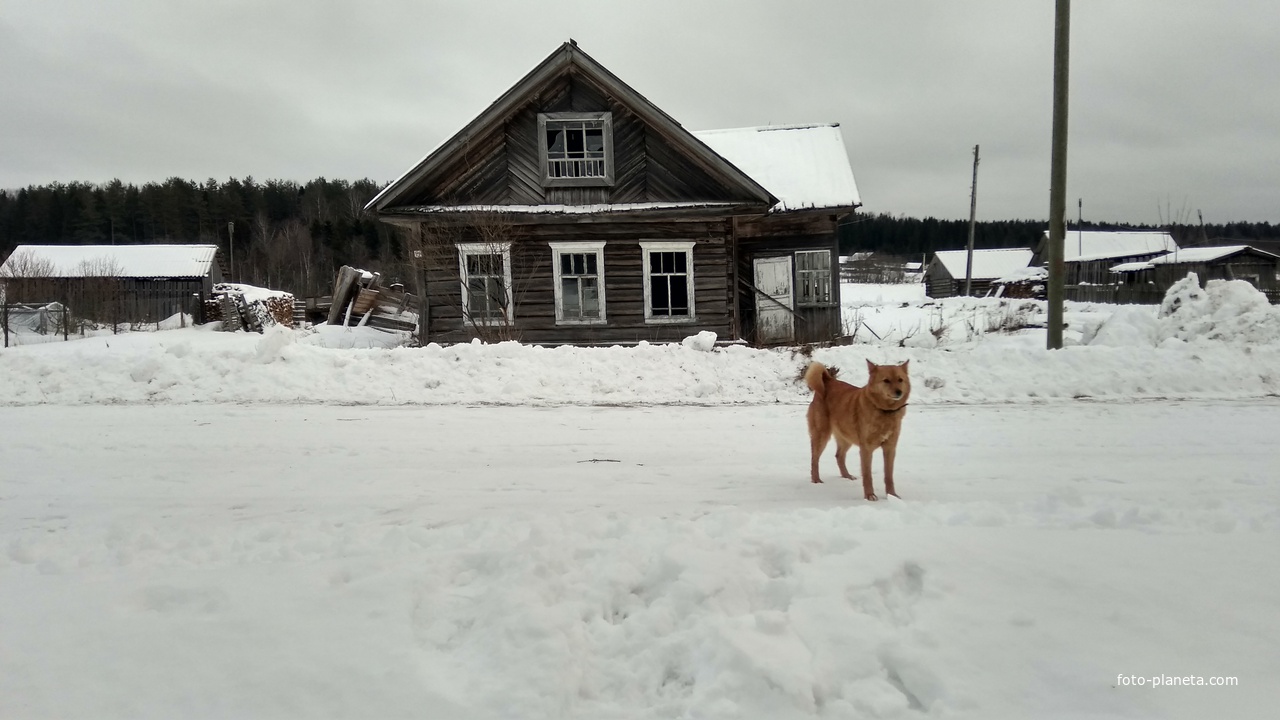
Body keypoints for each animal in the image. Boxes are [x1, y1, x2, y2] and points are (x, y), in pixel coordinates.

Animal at [803, 358, 906, 499]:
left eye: (900, 380)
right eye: (886, 380)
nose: (899, 392)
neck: (885, 411)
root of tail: (829, 381)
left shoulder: (890, 448)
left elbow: (889, 475)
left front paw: (892, 495)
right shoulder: (866, 449)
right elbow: (867, 475)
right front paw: (870, 496)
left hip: (846, 437)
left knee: (839, 456)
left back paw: (847, 476)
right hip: (821, 435)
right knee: (815, 459)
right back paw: (816, 480)